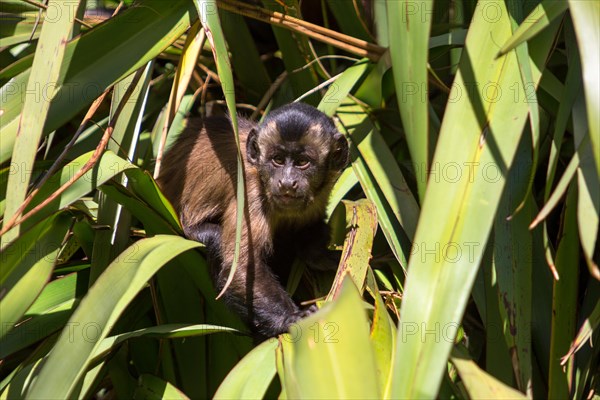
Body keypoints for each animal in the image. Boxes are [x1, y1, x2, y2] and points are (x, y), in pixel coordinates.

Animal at [157, 102, 350, 338]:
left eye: (302, 162)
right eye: (278, 160)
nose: (287, 183)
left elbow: (310, 231)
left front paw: (323, 257)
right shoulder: (250, 193)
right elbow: (241, 266)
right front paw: (290, 318)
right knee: (216, 239)